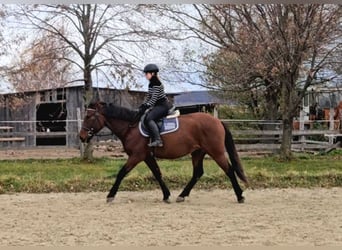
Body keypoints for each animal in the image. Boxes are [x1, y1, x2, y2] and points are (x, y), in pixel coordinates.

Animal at [80, 101, 248, 203]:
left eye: (88, 116)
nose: (81, 136)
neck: (131, 127)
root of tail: (217, 121)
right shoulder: (147, 156)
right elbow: (157, 173)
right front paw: (166, 195)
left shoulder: (136, 156)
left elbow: (121, 173)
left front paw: (110, 195)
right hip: (198, 152)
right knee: (197, 173)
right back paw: (182, 195)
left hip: (216, 152)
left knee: (229, 170)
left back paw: (240, 195)